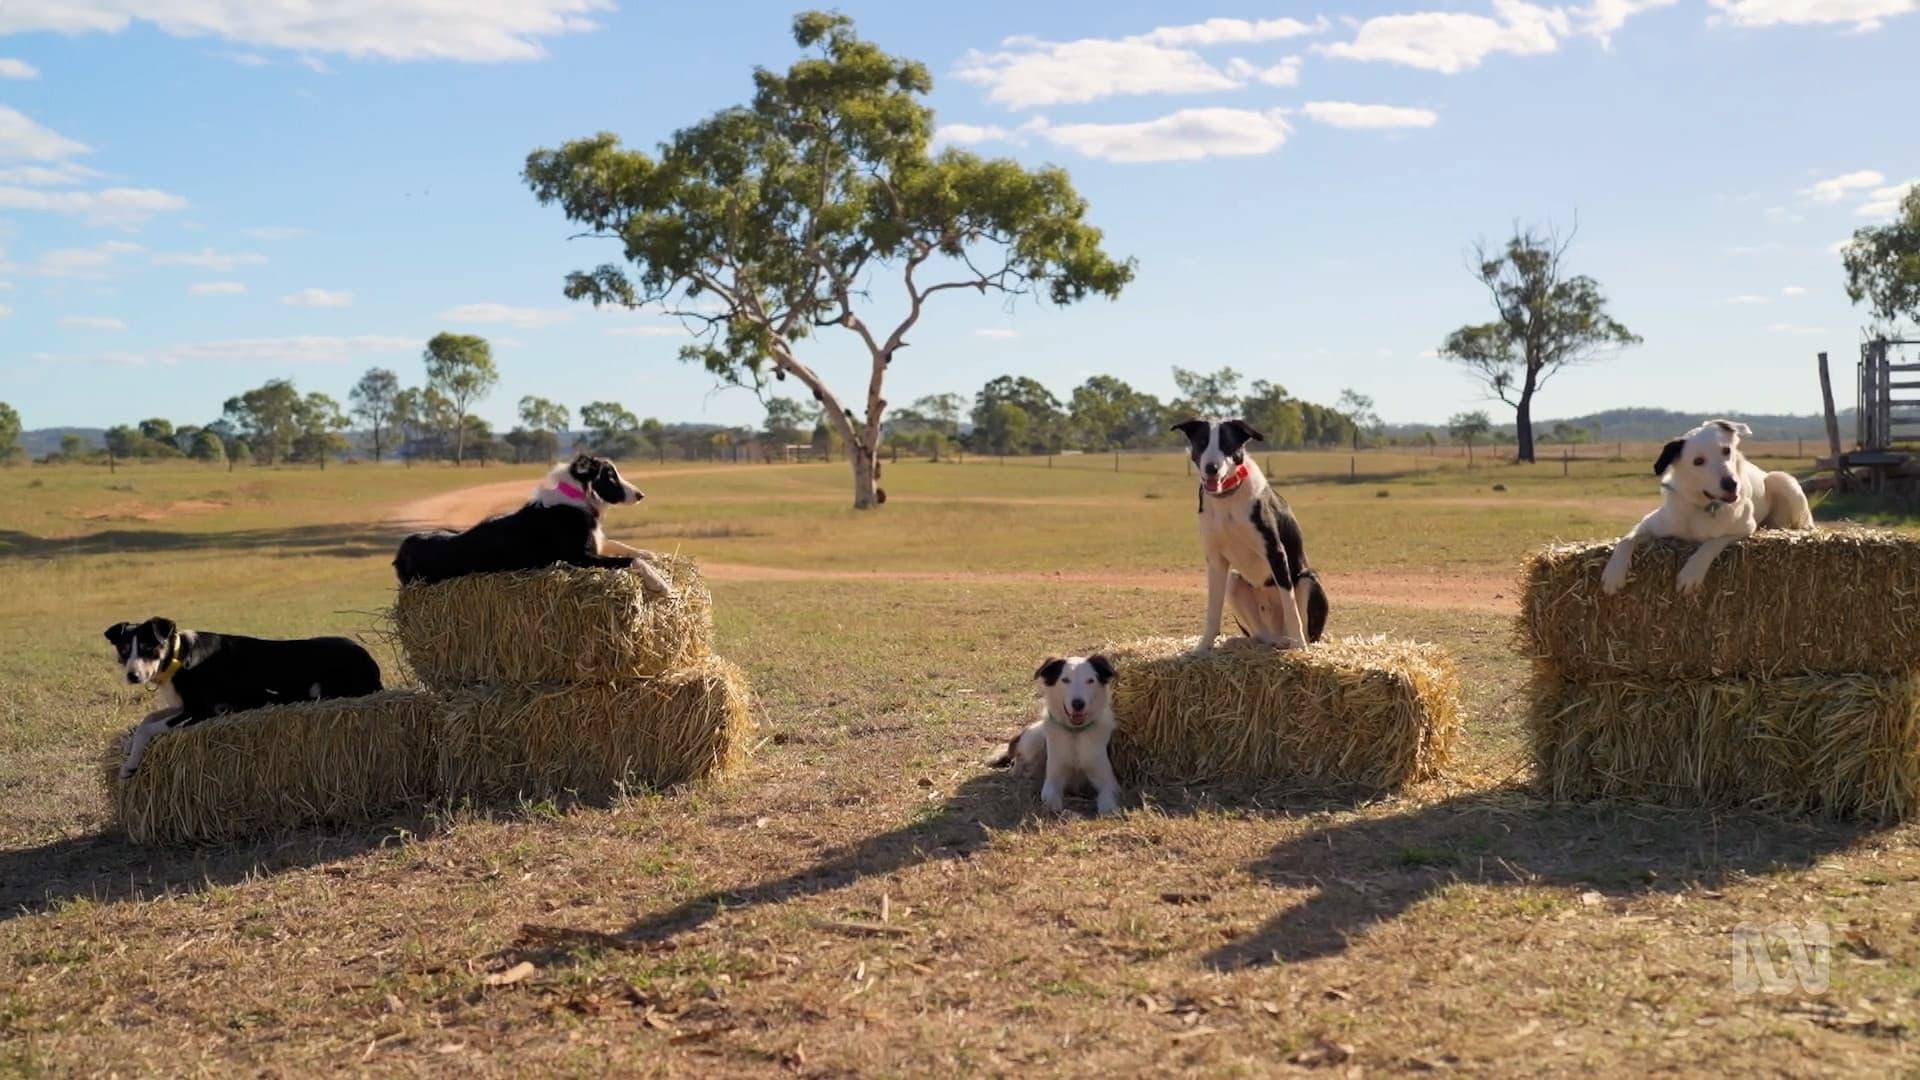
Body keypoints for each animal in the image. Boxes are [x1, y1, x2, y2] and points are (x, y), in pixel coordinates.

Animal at [105, 614, 382, 772]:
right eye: (124, 650)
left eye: (148, 647)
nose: (133, 676)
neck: (178, 655)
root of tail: (370, 661)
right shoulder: (182, 706)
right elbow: (146, 719)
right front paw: (127, 745)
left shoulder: (202, 710)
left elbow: (148, 728)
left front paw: (130, 763)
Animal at [397, 453, 652, 588]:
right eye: (610, 476)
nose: (641, 495)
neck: (575, 496)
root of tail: (402, 550)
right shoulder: (579, 557)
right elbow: (629, 560)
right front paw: (656, 579)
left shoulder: (594, 545)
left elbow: (622, 546)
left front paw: (648, 553)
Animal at [990, 653, 1121, 810]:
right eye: (1065, 680)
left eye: (1090, 680)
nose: (1078, 704)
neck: (1075, 734)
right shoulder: (1052, 781)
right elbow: (1053, 803)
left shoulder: (1108, 781)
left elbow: (1107, 803)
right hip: (1035, 739)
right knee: (1018, 756)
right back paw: (1018, 772)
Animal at [1175, 418, 1328, 657]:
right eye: (1202, 442)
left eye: (1227, 443)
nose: (1211, 468)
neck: (1227, 499)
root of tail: (1277, 635)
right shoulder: (1216, 561)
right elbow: (1212, 612)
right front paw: (1202, 648)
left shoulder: (1275, 552)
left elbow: (1291, 607)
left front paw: (1300, 648)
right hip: (1235, 581)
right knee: (1260, 635)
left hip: (1307, 578)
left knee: (1301, 624)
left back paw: (1296, 643)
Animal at [1605, 417, 1812, 591]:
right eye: (1698, 461)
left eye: (1726, 451)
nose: (1731, 483)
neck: (1703, 506)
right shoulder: (1648, 523)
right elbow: (1626, 539)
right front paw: (1613, 574)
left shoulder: (1744, 529)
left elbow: (1711, 543)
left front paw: (1692, 573)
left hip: (1782, 480)